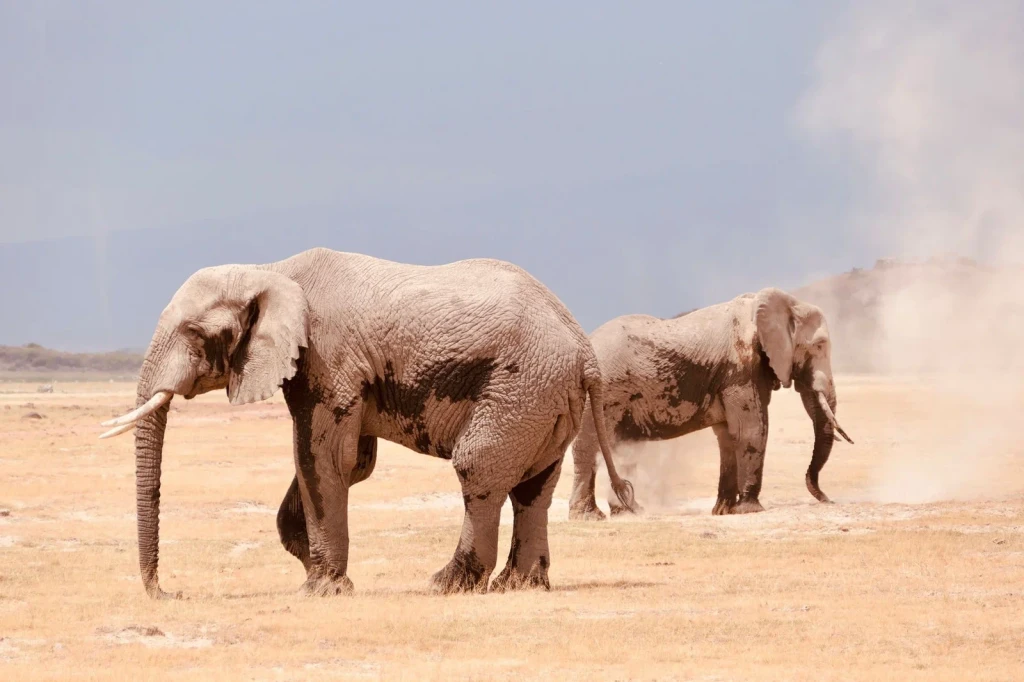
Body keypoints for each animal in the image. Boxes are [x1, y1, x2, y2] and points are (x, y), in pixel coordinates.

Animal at [99, 247, 634, 599]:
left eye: (195, 333)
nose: (168, 593)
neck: (272, 272)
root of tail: (584, 349)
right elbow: (350, 463)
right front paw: (314, 565)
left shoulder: (328, 359)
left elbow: (322, 457)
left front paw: (322, 588)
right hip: (547, 399)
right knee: (533, 488)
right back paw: (518, 585)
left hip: (520, 389)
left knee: (478, 470)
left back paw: (447, 584)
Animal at [568, 287, 852, 520]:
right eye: (819, 346)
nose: (828, 500)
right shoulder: (740, 370)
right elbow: (751, 429)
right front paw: (750, 510)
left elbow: (729, 436)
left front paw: (724, 512)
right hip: (601, 395)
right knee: (590, 449)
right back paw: (590, 517)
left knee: (619, 451)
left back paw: (628, 512)